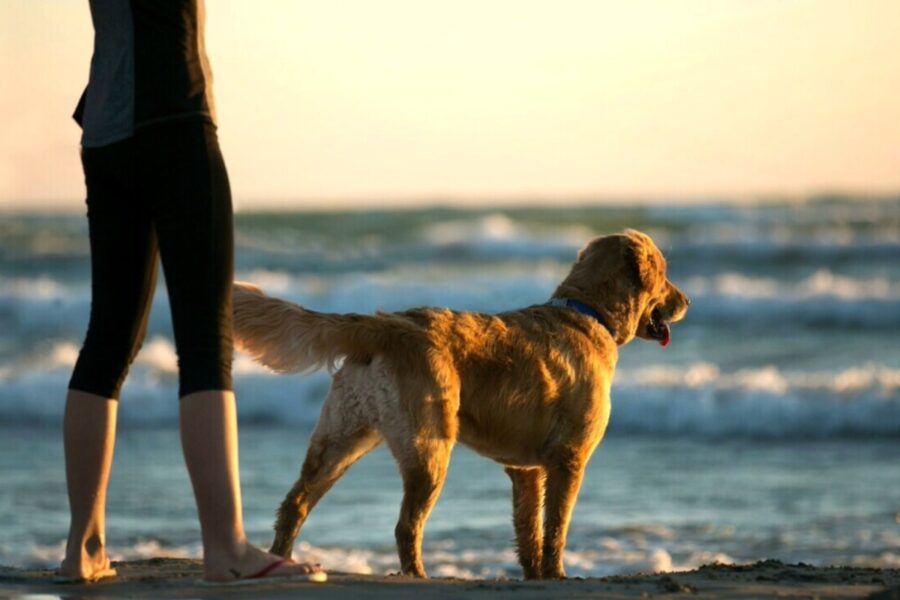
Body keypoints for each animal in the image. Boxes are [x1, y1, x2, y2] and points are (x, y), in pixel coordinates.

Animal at [232, 227, 688, 580]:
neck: (588, 313)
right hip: (429, 447)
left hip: (341, 438)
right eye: (665, 274)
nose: (686, 302)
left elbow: (529, 530)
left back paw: (282, 562)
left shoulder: (526, 470)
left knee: (295, 503)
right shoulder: (569, 458)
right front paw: (557, 574)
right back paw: (417, 575)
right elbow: (556, 526)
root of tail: (386, 324)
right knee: (405, 526)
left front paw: (534, 575)